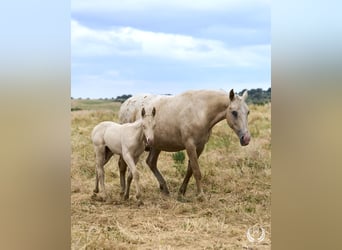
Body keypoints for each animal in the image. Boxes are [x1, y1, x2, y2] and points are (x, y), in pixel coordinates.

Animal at [119, 89, 250, 200]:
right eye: (234, 112)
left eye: (248, 112)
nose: (246, 139)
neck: (200, 110)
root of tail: (126, 104)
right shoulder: (190, 145)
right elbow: (196, 171)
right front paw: (201, 195)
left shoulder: (200, 147)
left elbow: (190, 170)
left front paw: (182, 191)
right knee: (122, 165)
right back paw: (123, 191)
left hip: (156, 146)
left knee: (151, 162)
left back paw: (164, 188)